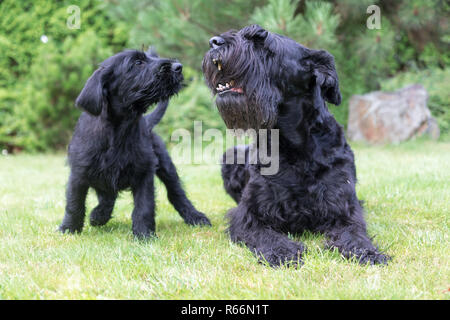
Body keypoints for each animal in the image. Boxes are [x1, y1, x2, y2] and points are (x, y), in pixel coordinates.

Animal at [59, 49, 211, 238]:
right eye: (137, 63)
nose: (178, 67)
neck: (120, 129)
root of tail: (147, 121)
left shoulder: (143, 173)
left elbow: (144, 207)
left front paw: (144, 235)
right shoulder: (79, 174)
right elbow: (74, 203)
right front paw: (68, 228)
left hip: (166, 167)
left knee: (176, 193)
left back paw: (195, 217)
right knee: (107, 196)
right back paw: (99, 215)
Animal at [204, 25, 390, 266]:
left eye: (263, 42)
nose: (214, 42)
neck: (295, 145)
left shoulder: (344, 209)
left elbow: (354, 232)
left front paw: (367, 251)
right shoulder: (249, 215)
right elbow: (266, 234)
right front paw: (282, 251)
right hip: (230, 156)